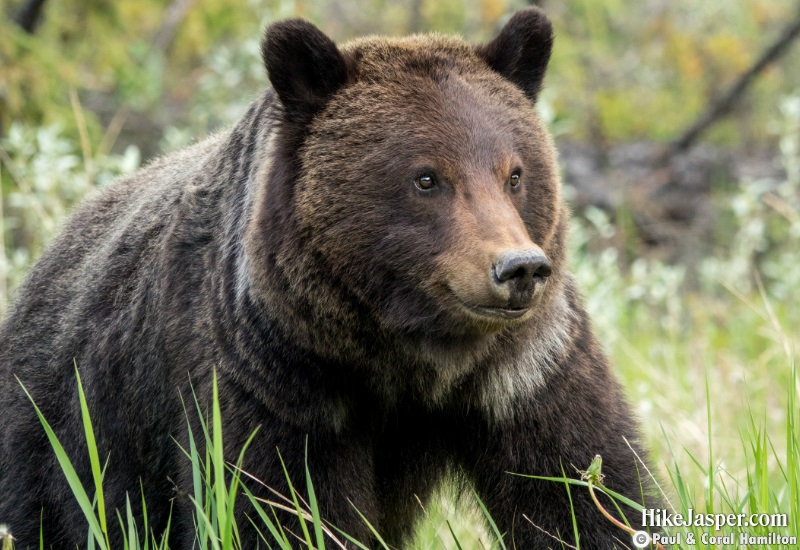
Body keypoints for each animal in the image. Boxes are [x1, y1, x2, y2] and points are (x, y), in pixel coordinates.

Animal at [0, 7, 658, 548]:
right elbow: (281, 512)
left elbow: (582, 488)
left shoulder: (524, 372)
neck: (405, 357)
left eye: (515, 173)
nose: (519, 267)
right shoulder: (273, 384)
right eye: (427, 177)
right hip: (67, 427)